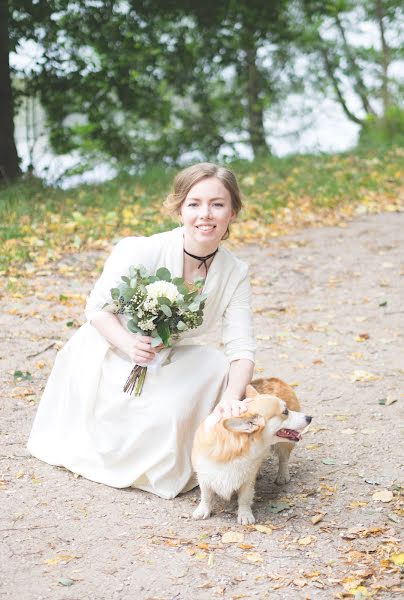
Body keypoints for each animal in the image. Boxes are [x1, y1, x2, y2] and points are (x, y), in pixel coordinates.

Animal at [191, 378, 310, 524]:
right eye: (285, 412)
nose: (309, 417)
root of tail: (274, 379)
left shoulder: (247, 481)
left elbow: (244, 498)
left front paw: (245, 515)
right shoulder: (204, 476)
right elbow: (206, 496)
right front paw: (203, 510)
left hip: (283, 444)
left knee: (283, 459)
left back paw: (282, 476)